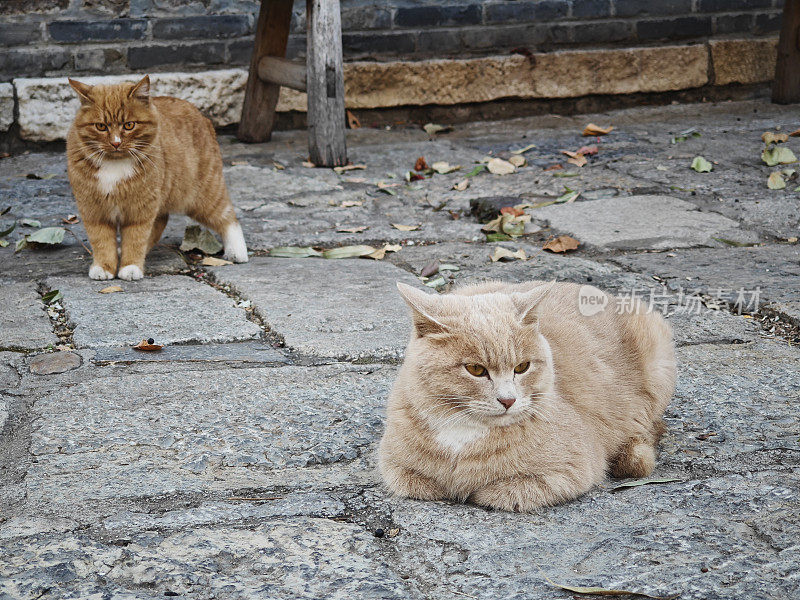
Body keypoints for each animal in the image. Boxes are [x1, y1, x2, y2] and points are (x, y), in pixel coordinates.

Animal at [67, 75, 245, 282]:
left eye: (129, 125)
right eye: (101, 127)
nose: (116, 143)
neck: (115, 164)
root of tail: (201, 115)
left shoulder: (140, 211)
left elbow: (136, 238)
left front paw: (130, 266)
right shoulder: (94, 211)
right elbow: (101, 240)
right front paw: (104, 267)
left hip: (202, 195)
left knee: (228, 217)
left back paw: (238, 252)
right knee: (161, 222)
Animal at [380, 280, 676, 510]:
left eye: (522, 367)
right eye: (475, 369)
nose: (508, 400)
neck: (462, 433)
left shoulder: (571, 470)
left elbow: (495, 492)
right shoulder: (395, 467)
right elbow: (421, 483)